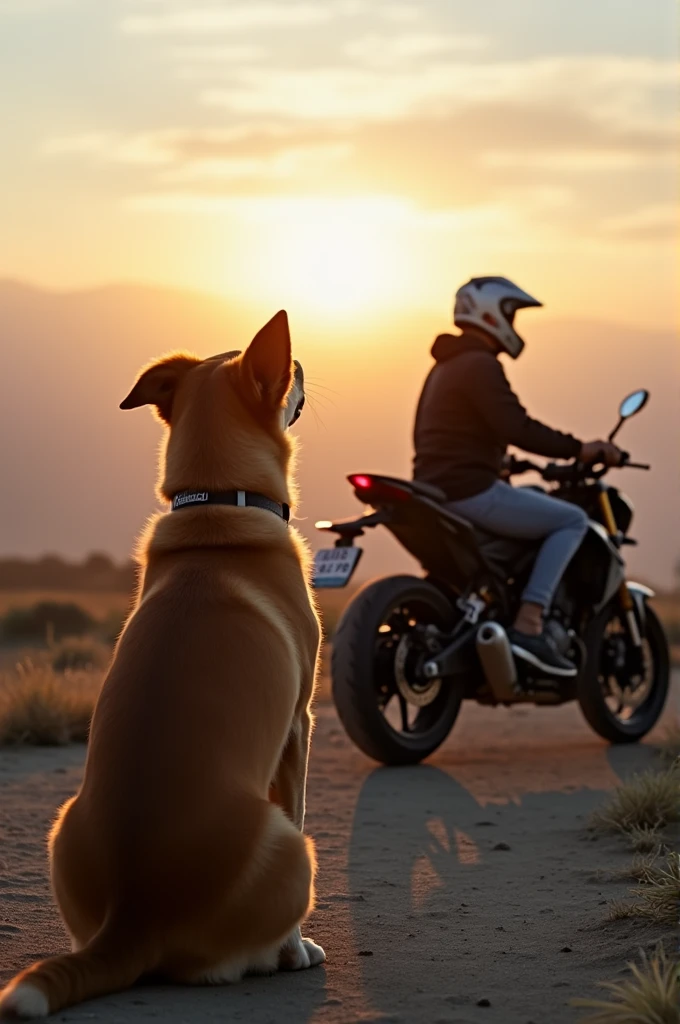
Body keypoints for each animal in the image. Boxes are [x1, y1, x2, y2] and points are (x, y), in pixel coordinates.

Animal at [0, 309, 323, 1015]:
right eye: (285, 374)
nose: (304, 363)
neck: (218, 504)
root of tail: (134, 917)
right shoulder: (299, 725)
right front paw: (296, 951)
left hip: (62, 826)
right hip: (294, 849)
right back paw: (281, 952)